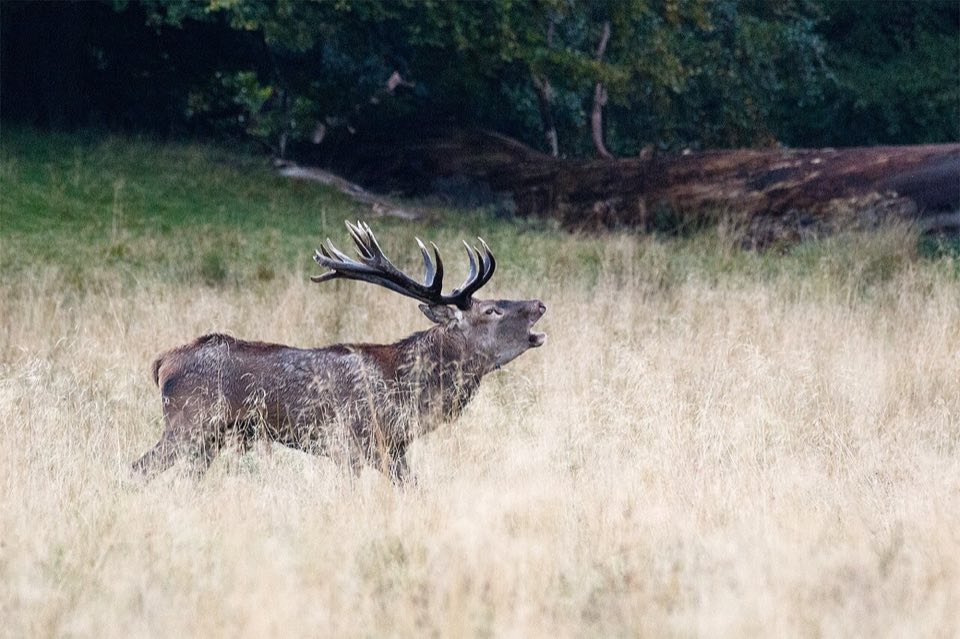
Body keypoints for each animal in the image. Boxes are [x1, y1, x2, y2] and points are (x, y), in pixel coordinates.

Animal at [132, 221, 546, 485]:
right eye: (490, 310)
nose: (540, 304)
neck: (408, 390)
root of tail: (161, 363)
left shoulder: (393, 450)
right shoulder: (351, 441)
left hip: (209, 440)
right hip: (188, 424)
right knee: (137, 468)